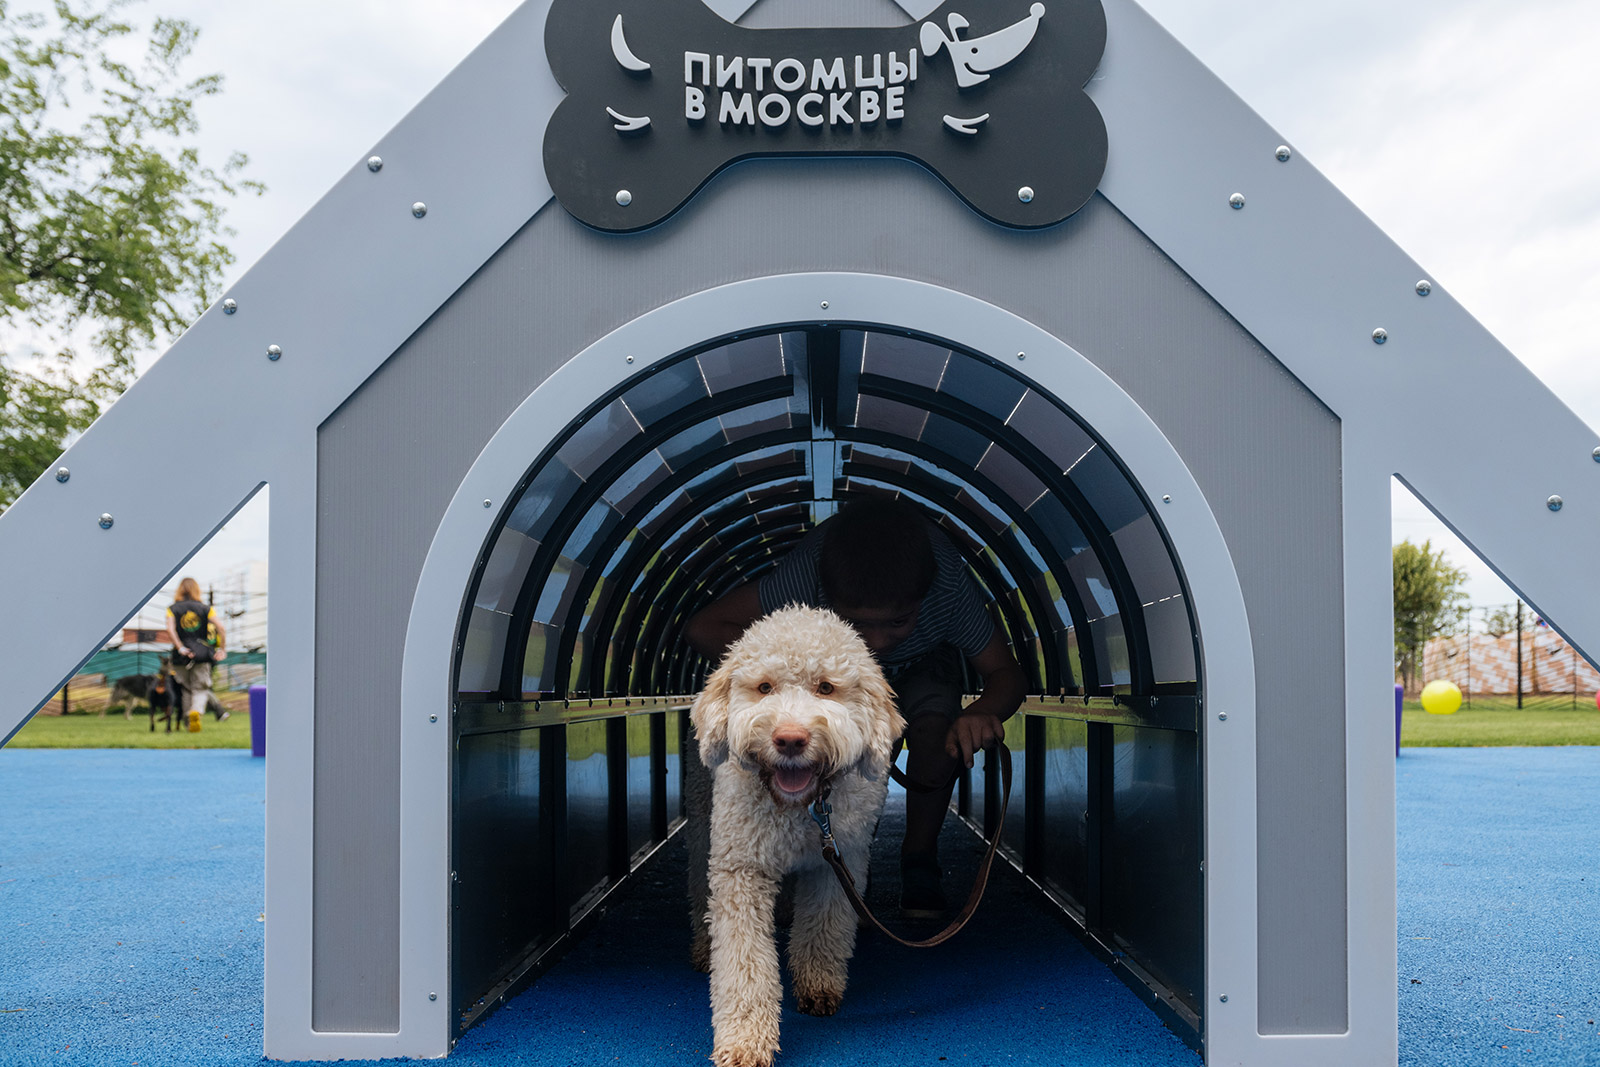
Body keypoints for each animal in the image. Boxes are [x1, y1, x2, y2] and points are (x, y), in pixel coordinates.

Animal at [691, 604, 908, 1067]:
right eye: (764, 687)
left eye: (826, 687)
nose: (789, 739)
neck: (798, 807)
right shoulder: (742, 869)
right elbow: (744, 962)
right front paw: (744, 1040)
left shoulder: (838, 862)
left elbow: (825, 925)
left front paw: (817, 984)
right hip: (702, 821)